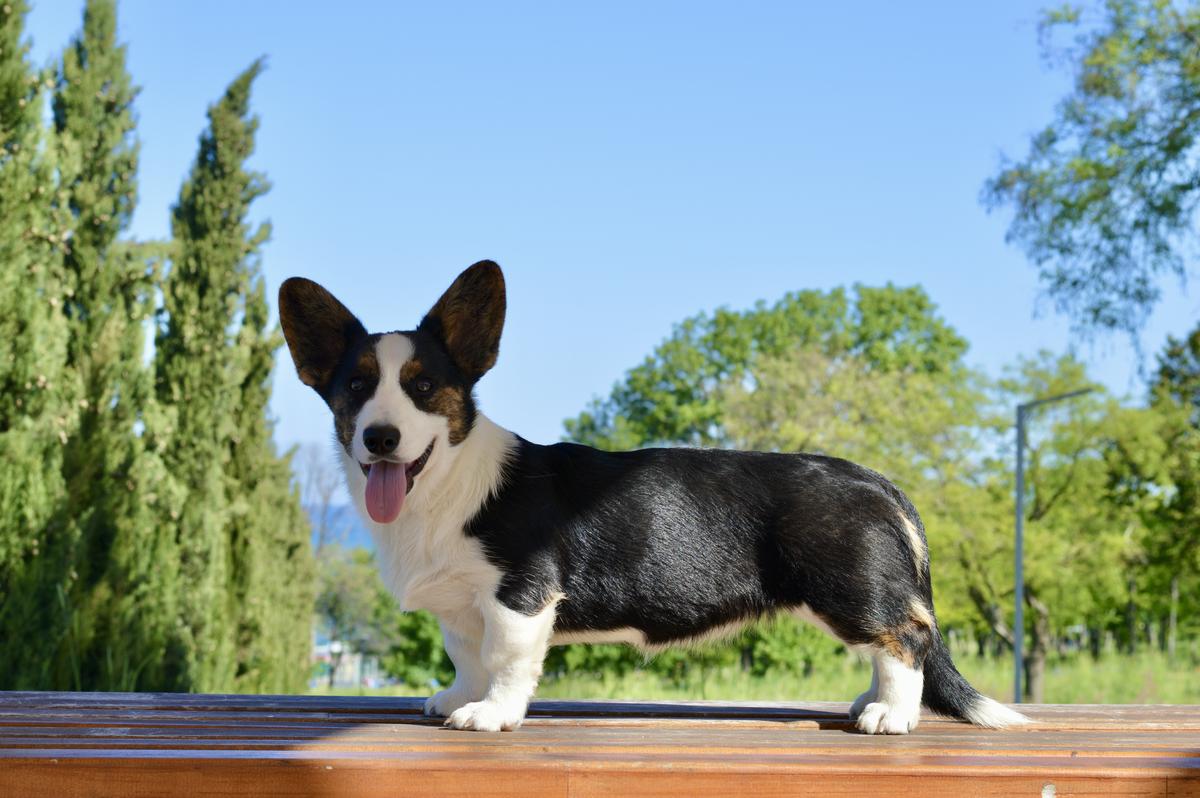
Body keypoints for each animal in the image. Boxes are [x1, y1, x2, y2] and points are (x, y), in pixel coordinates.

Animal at [276, 261, 1027, 734]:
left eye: (425, 387)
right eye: (354, 387)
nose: (380, 437)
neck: (445, 485)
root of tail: (876, 479)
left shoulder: (520, 597)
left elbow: (505, 663)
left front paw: (490, 715)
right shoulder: (463, 606)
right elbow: (466, 656)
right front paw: (455, 699)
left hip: (850, 589)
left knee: (906, 638)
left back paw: (890, 715)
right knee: (889, 645)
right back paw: (867, 700)